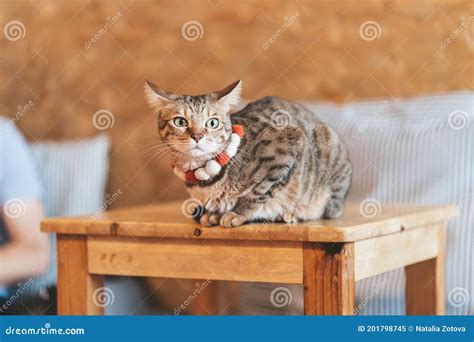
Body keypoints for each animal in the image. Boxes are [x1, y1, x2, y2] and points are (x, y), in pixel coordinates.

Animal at [144, 80, 352, 227]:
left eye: (212, 122)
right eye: (180, 121)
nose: (197, 136)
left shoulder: (288, 146)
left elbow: (260, 192)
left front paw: (238, 212)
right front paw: (213, 214)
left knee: (328, 210)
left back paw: (292, 214)